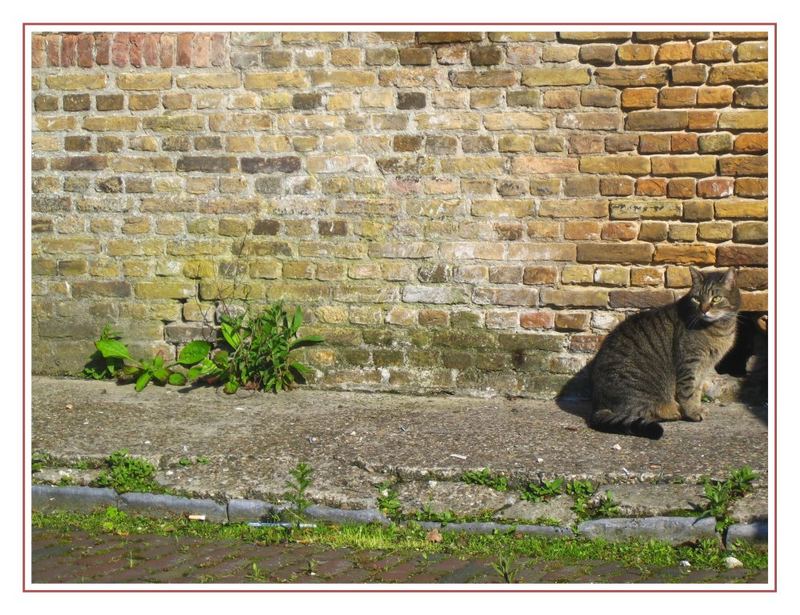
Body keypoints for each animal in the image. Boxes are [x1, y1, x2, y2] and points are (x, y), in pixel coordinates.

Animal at [592, 268, 740, 440]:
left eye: (716, 298)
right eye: (697, 299)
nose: (704, 310)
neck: (720, 329)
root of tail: (599, 404)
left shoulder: (703, 368)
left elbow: (696, 391)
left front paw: (697, 408)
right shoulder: (689, 363)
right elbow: (688, 392)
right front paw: (693, 412)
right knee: (643, 412)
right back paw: (673, 411)